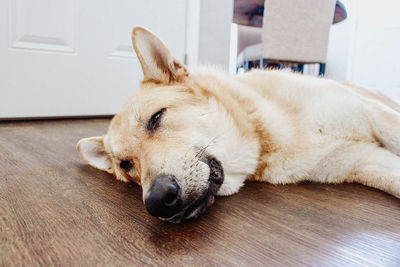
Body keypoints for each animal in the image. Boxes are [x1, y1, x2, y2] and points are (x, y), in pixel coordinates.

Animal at [76, 27, 398, 224]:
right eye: (126, 166)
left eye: (156, 118)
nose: (157, 201)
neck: (265, 134)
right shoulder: (366, 161)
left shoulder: (374, 114)